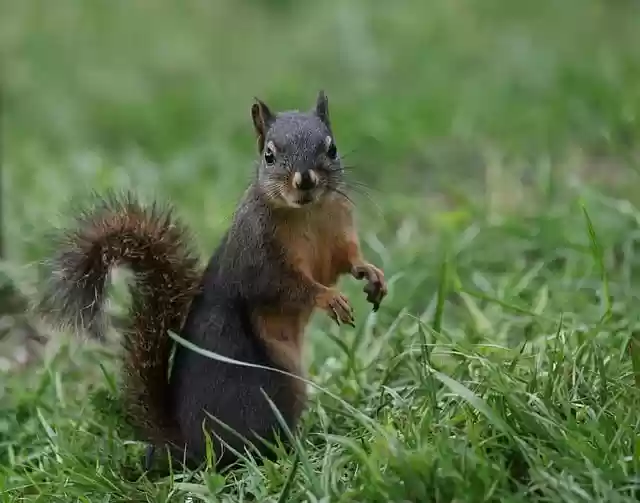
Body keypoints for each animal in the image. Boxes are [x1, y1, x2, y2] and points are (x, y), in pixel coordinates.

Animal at [38, 91, 387, 471]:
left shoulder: (337, 233)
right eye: (269, 154)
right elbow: (285, 286)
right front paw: (328, 298)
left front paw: (371, 274)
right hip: (271, 389)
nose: (304, 180)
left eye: (332, 148)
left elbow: (347, 260)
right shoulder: (257, 256)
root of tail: (187, 444)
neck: (307, 212)